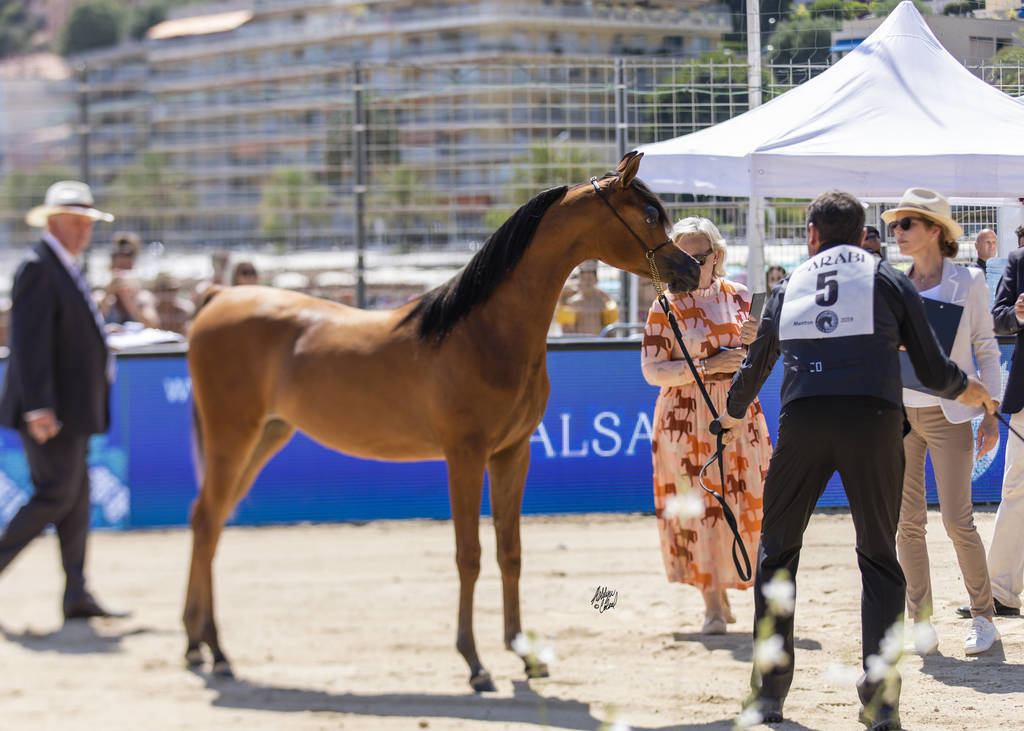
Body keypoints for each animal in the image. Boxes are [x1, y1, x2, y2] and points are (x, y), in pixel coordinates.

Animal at [182, 150, 700, 691]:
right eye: (649, 215)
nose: (692, 270)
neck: (484, 333)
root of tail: (217, 298)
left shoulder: (512, 454)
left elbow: (509, 551)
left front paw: (523, 653)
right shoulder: (465, 457)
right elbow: (468, 555)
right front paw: (475, 663)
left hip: (264, 438)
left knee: (209, 522)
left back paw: (199, 645)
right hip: (232, 438)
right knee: (206, 520)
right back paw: (215, 650)